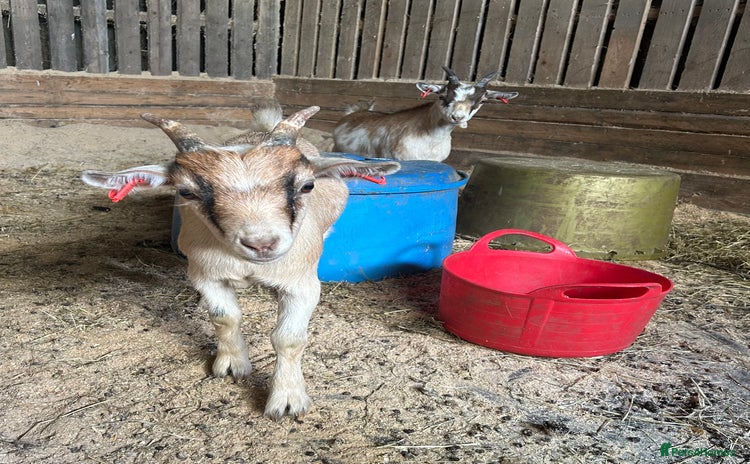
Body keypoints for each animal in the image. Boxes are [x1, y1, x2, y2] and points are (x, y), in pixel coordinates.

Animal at [81, 106, 400, 419]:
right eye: (186, 192)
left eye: (307, 185)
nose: (261, 243)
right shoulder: (205, 275)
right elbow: (224, 317)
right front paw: (233, 364)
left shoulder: (303, 285)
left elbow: (289, 338)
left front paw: (287, 400)